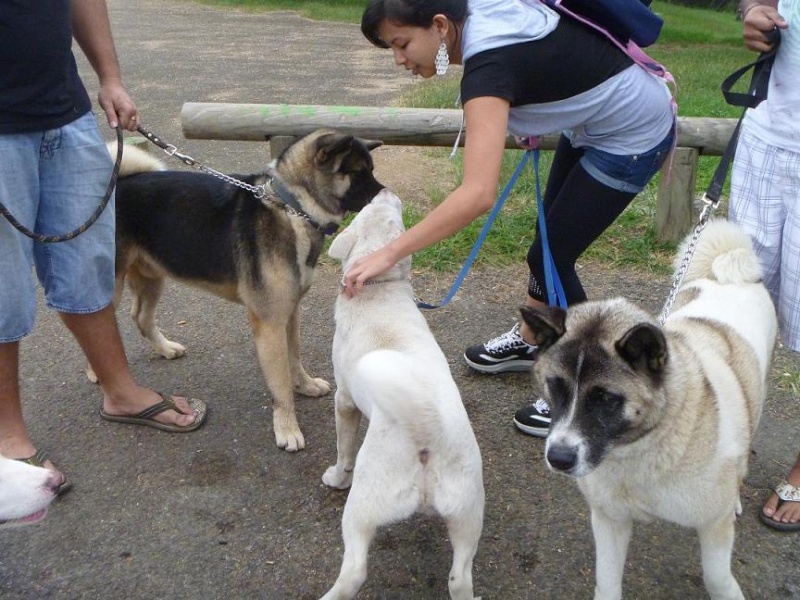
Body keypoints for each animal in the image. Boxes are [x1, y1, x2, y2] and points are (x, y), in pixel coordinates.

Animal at [322, 190, 484, 596]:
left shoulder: (344, 400)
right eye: (374, 208)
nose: (383, 190)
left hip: (363, 506)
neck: (379, 288)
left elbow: (343, 448)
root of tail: (427, 429)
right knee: (460, 578)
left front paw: (336, 476)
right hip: (468, 512)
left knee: (353, 571)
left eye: (389, 210)